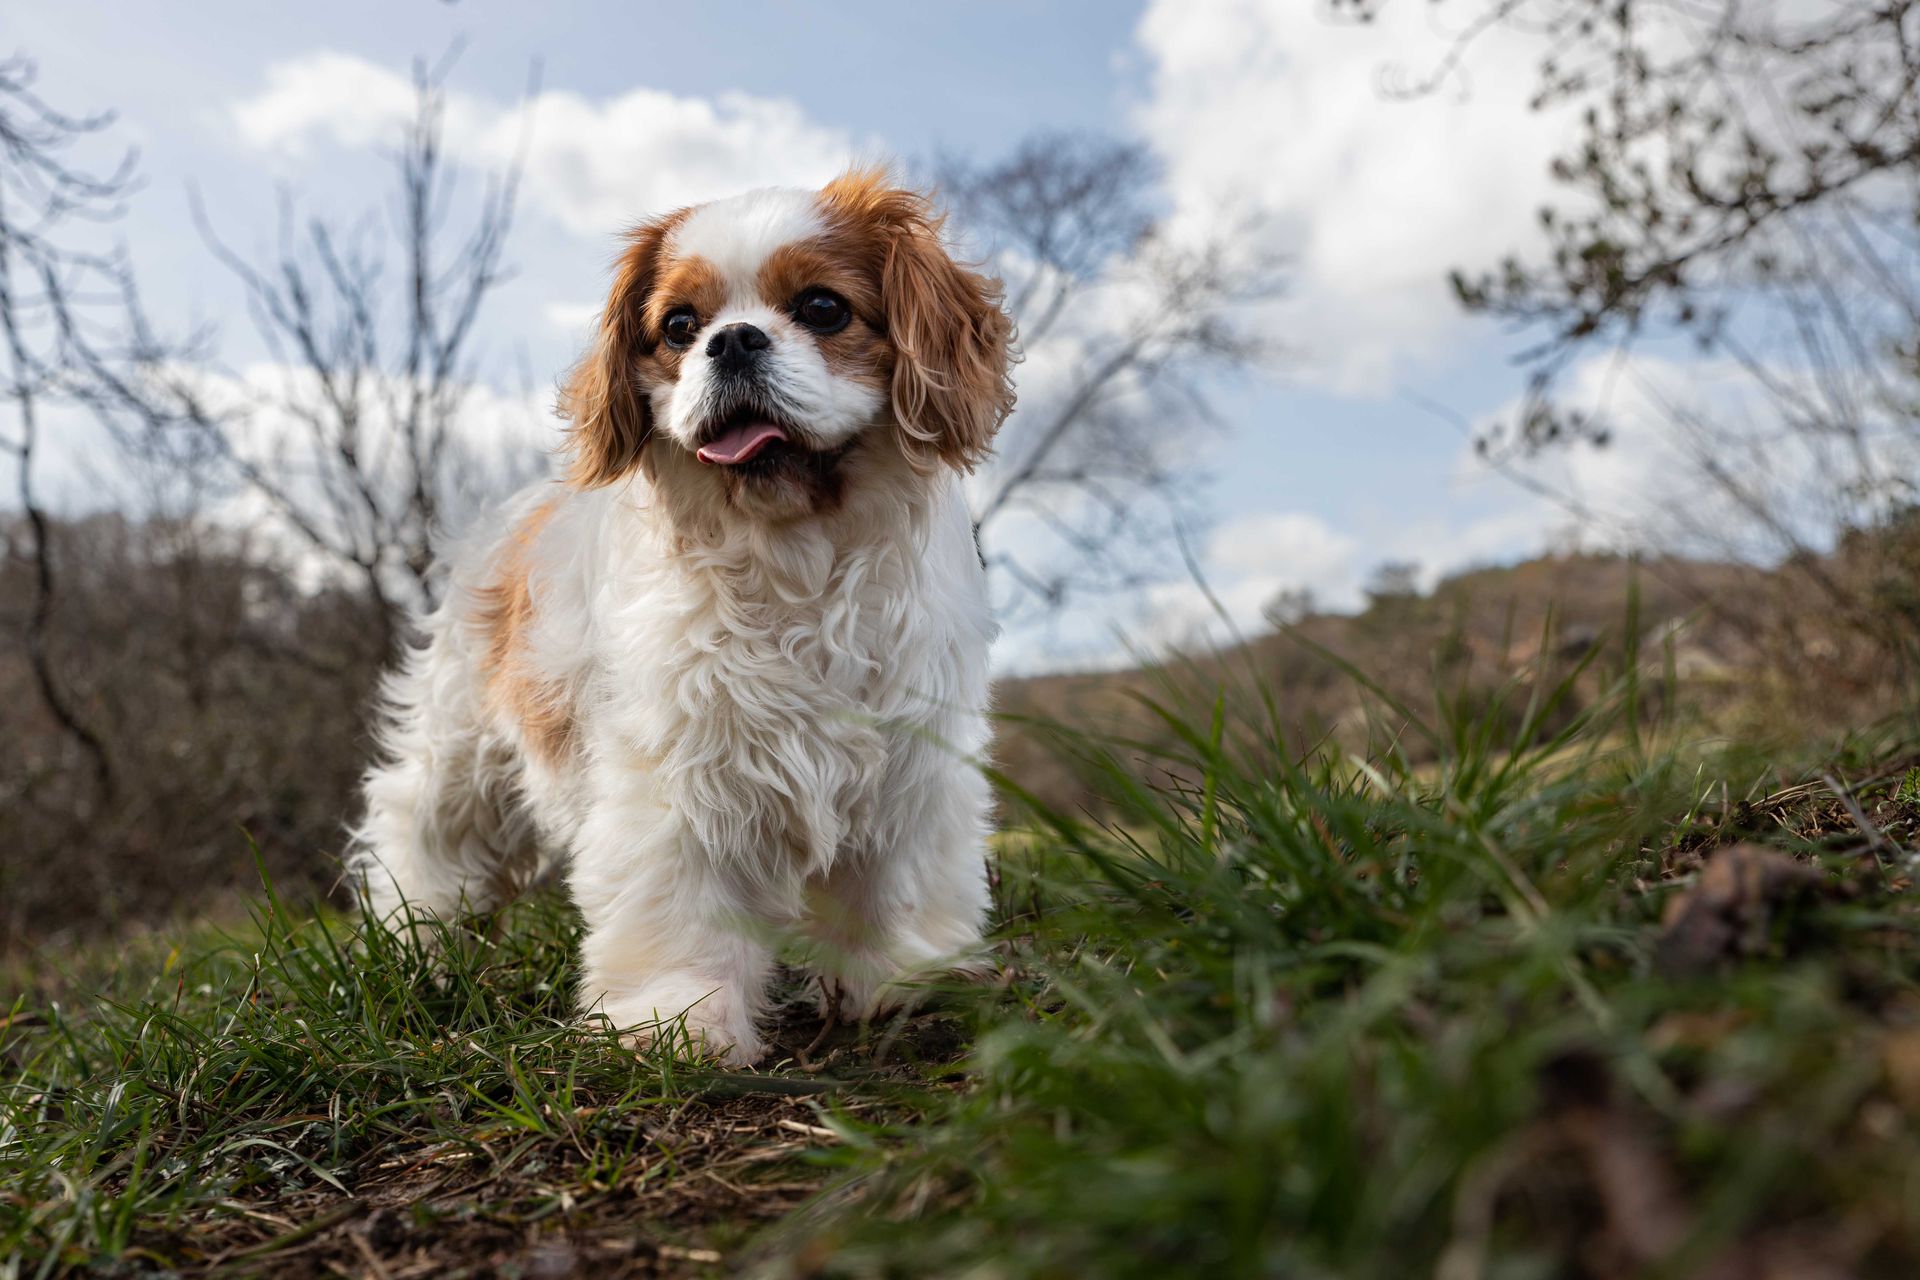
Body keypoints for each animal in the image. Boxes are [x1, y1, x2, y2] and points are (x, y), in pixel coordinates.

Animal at [347, 172, 1013, 1074]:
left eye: (823, 308)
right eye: (678, 327)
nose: (732, 342)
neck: (790, 552)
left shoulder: (911, 766)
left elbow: (894, 886)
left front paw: (902, 980)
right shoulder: (677, 780)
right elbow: (683, 911)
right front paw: (678, 1020)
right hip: (461, 760)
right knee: (420, 841)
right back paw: (416, 947)